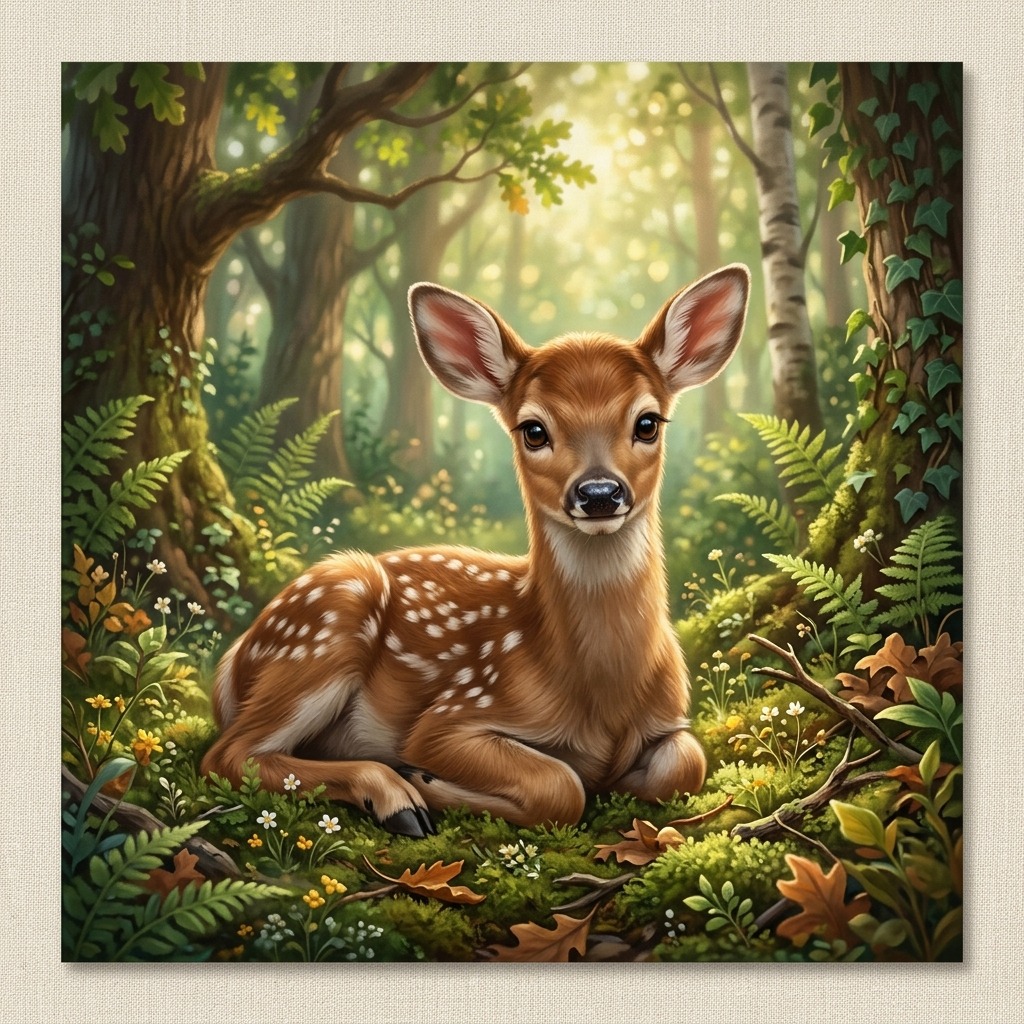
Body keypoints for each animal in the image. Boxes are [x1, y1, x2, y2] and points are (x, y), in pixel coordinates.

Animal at [201, 264, 750, 837]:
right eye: (533, 429)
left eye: (647, 422)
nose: (599, 493)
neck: (600, 695)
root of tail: (233, 660)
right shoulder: (452, 715)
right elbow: (561, 786)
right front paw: (427, 780)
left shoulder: (670, 721)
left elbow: (686, 762)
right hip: (327, 619)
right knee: (227, 755)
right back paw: (397, 797)